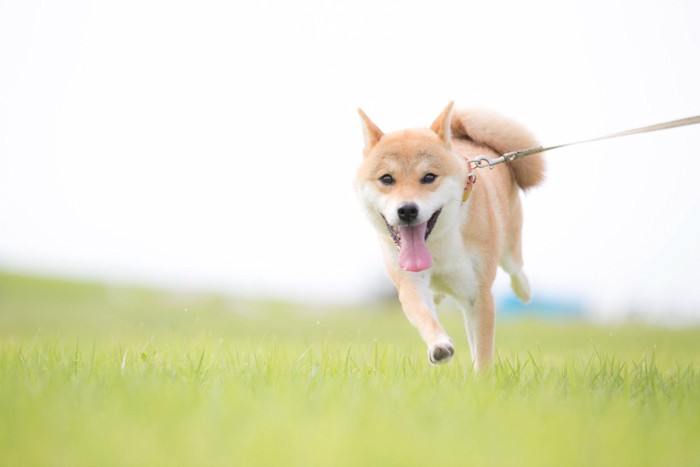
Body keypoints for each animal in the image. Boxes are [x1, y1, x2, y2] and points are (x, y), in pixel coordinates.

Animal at [352, 104, 544, 372]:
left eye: (429, 177)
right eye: (387, 179)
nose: (407, 210)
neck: (437, 244)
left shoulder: (478, 294)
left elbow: (482, 352)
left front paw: (483, 379)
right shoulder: (410, 282)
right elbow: (424, 317)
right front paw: (439, 346)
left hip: (509, 245)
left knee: (515, 267)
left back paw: (523, 290)